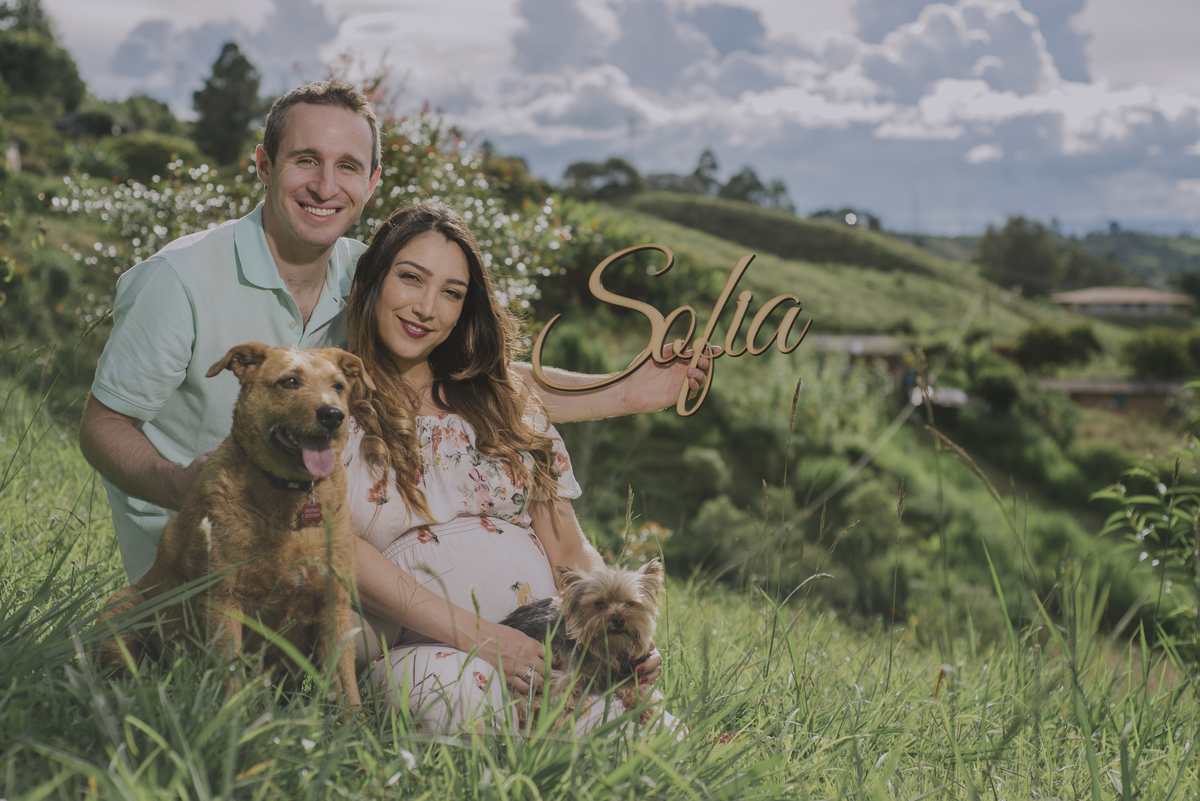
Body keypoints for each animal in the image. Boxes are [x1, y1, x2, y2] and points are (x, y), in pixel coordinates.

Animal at [97, 343, 370, 705]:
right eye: (290, 381)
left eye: (338, 386)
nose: (332, 415)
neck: (292, 501)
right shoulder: (224, 599)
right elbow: (230, 675)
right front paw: (232, 716)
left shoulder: (334, 605)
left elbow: (346, 686)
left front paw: (354, 722)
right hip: (122, 607)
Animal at [500, 558, 664, 730]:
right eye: (599, 603)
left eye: (630, 603)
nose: (619, 620)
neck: (605, 647)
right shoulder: (565, 673)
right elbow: (559, 697)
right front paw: (549, 723)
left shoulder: (628, 668)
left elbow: (638, 687)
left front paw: (648, 709)